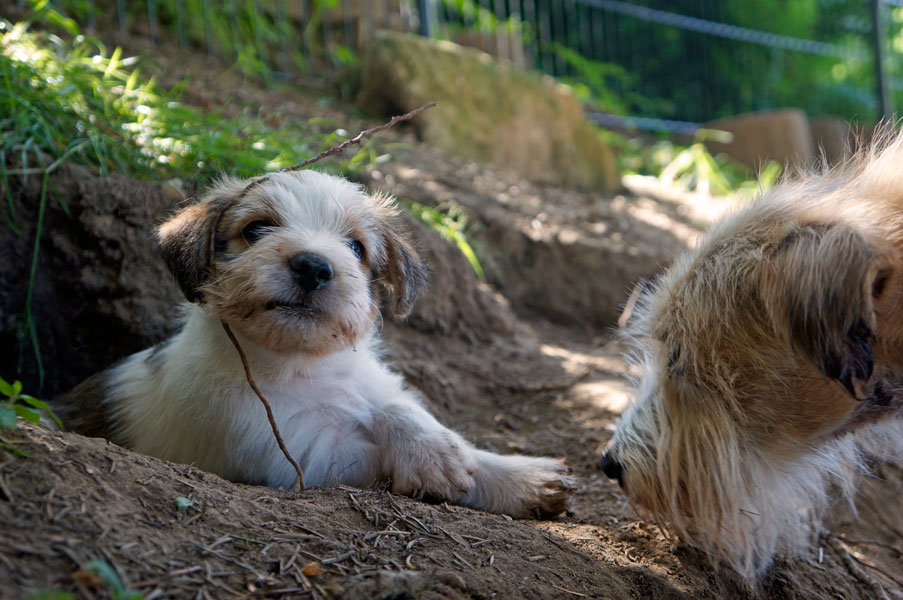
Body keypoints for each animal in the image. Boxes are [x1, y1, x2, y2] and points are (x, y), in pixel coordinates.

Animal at [55, 170, 575, 519]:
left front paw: (494, 468)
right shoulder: (295, 453)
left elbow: (395, 406)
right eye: (255, 229)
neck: (303, 365)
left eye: (356, 247)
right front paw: (443, 463)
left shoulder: (368, 385)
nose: (312, 266)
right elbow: (371, 450)